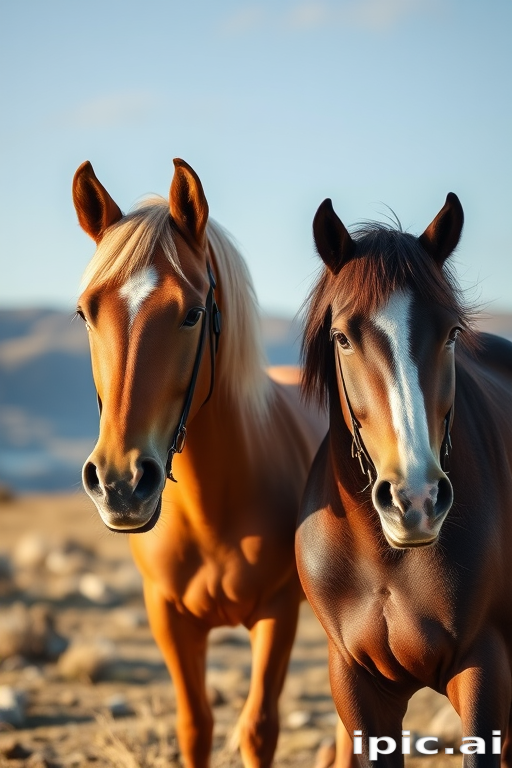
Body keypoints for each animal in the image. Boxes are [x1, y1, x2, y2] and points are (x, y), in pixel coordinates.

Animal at [72, 158, 327, 768]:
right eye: (86, 312)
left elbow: (258, 729)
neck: (213, 511)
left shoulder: (277, 614)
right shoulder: (169, 617)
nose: (120, 483)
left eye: (191, 315)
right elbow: (196, 726)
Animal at [297, 192, 512, 767]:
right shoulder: (357, 684)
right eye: (342, 338)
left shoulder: (485, 668)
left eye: (452, 333)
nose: (415, 500)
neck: (387, 560)